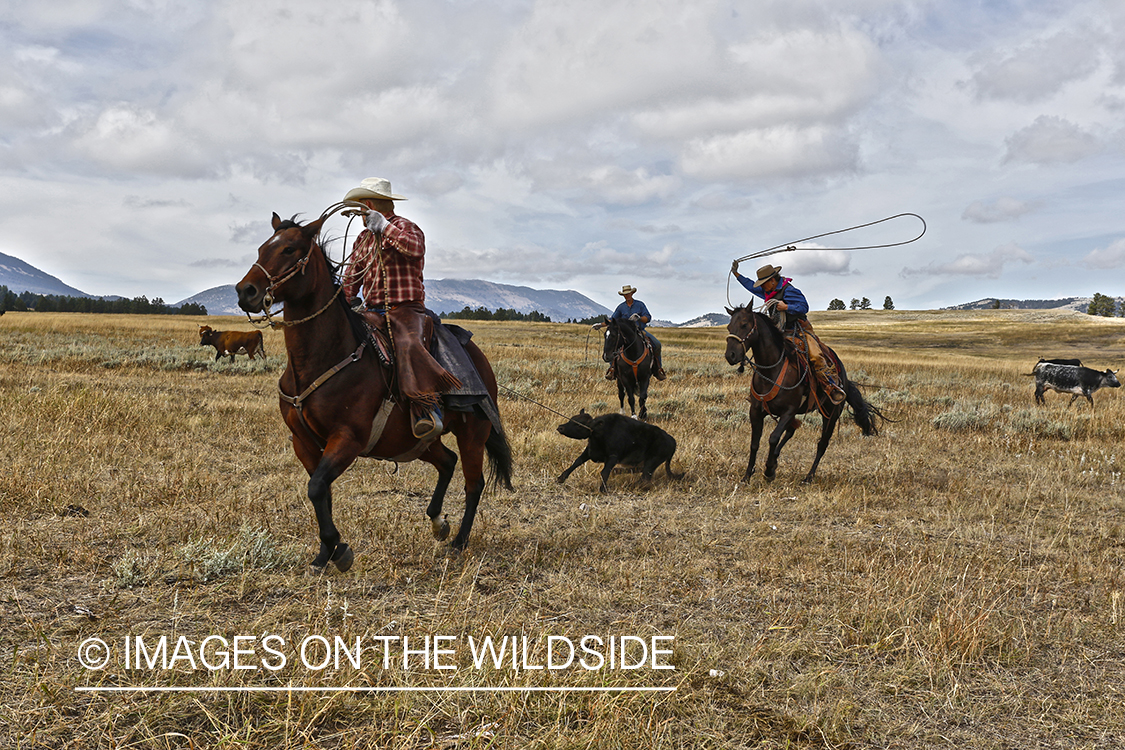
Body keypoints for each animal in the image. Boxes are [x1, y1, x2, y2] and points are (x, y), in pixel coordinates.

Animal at [239, 208, 515, 571]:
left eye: (289, 249)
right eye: (261, 248)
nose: (245, 291)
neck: (323, 357)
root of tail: (476, 354)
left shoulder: (348, 439)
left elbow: (316, 488)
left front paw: (338, 550)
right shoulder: (304, 443)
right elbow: (320, 492)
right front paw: (325, 554)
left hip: (474, 433)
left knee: (474, 483)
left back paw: (458, 542)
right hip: (415, 441)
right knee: (447, 462)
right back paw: (437, 522)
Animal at [720, 305, 886, 488]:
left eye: (744, 325)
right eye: (729, 327)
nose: (731, 355)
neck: (771, 371)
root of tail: (844, 380)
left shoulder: (788, 411)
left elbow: (773, 437)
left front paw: (769, 471)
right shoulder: (756, 411)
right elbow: (755, 443)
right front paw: (747, 476)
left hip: (831, 414)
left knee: (822, 444)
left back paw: (808, 477)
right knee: (791, 431)